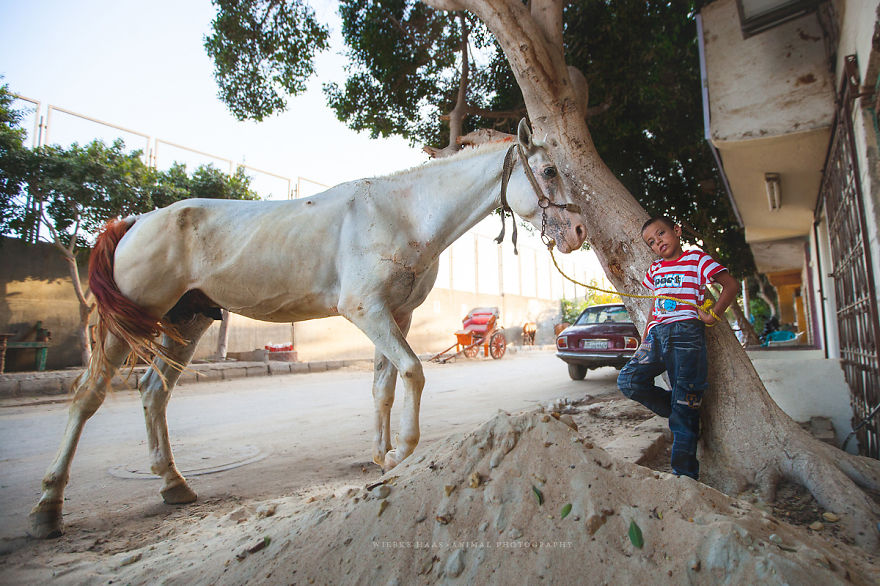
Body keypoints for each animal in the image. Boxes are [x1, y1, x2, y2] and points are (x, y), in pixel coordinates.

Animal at [28, 119, 587, 538]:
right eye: (549, 170)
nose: (580, 231)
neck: (402, 214)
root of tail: (135, 222)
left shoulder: (395, 316)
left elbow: (384, 386)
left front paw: (381, 455)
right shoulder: (366, 311)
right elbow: (413, 371)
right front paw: (401, 451)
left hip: (185, 323)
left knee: (152, 393)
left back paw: (173, 484)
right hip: (126, 325)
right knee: (88, 395)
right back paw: (48, 507)